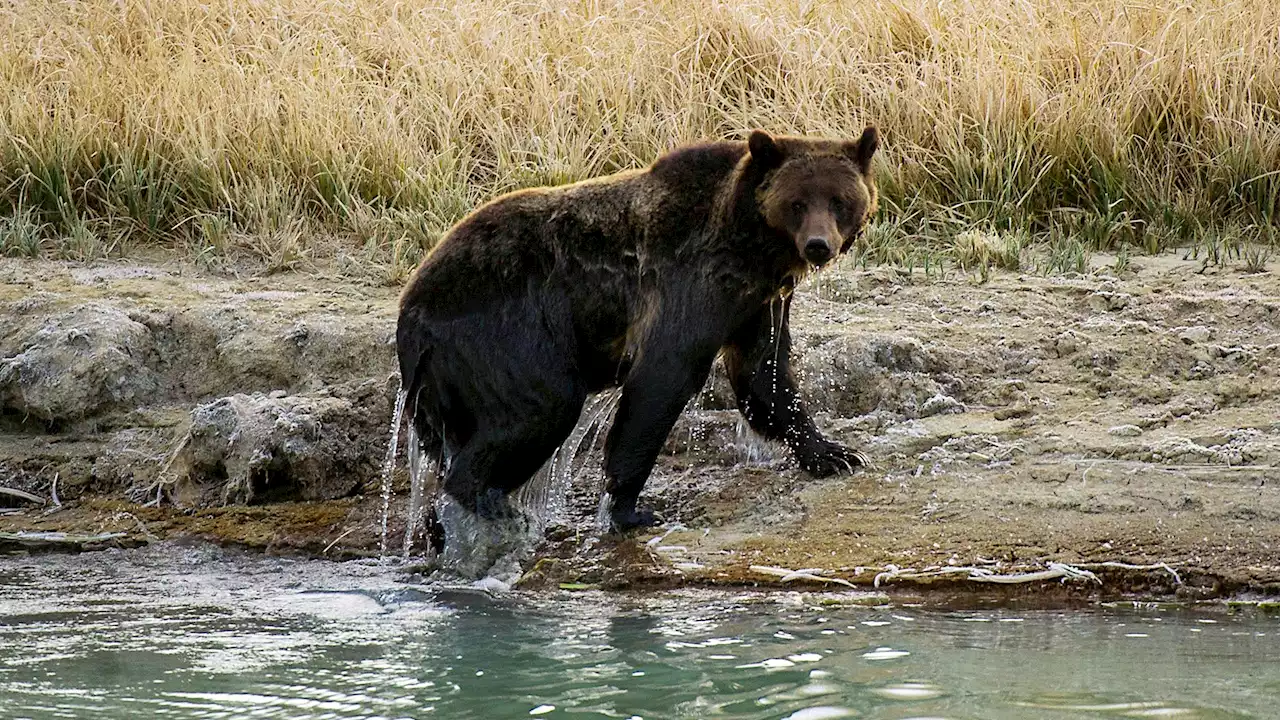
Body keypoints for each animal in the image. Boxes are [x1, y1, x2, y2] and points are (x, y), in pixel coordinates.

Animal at [399, 126, 880, 530]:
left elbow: (765, 375)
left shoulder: (756, 304)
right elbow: (664, 376)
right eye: (797, 202)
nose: (818, 245)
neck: (751, 250)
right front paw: (630, 507)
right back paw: (492, 507)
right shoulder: (688, 282)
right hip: (503, 331)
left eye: (838, 200)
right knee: (542, 406)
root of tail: (410, 309)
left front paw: (836, 453)